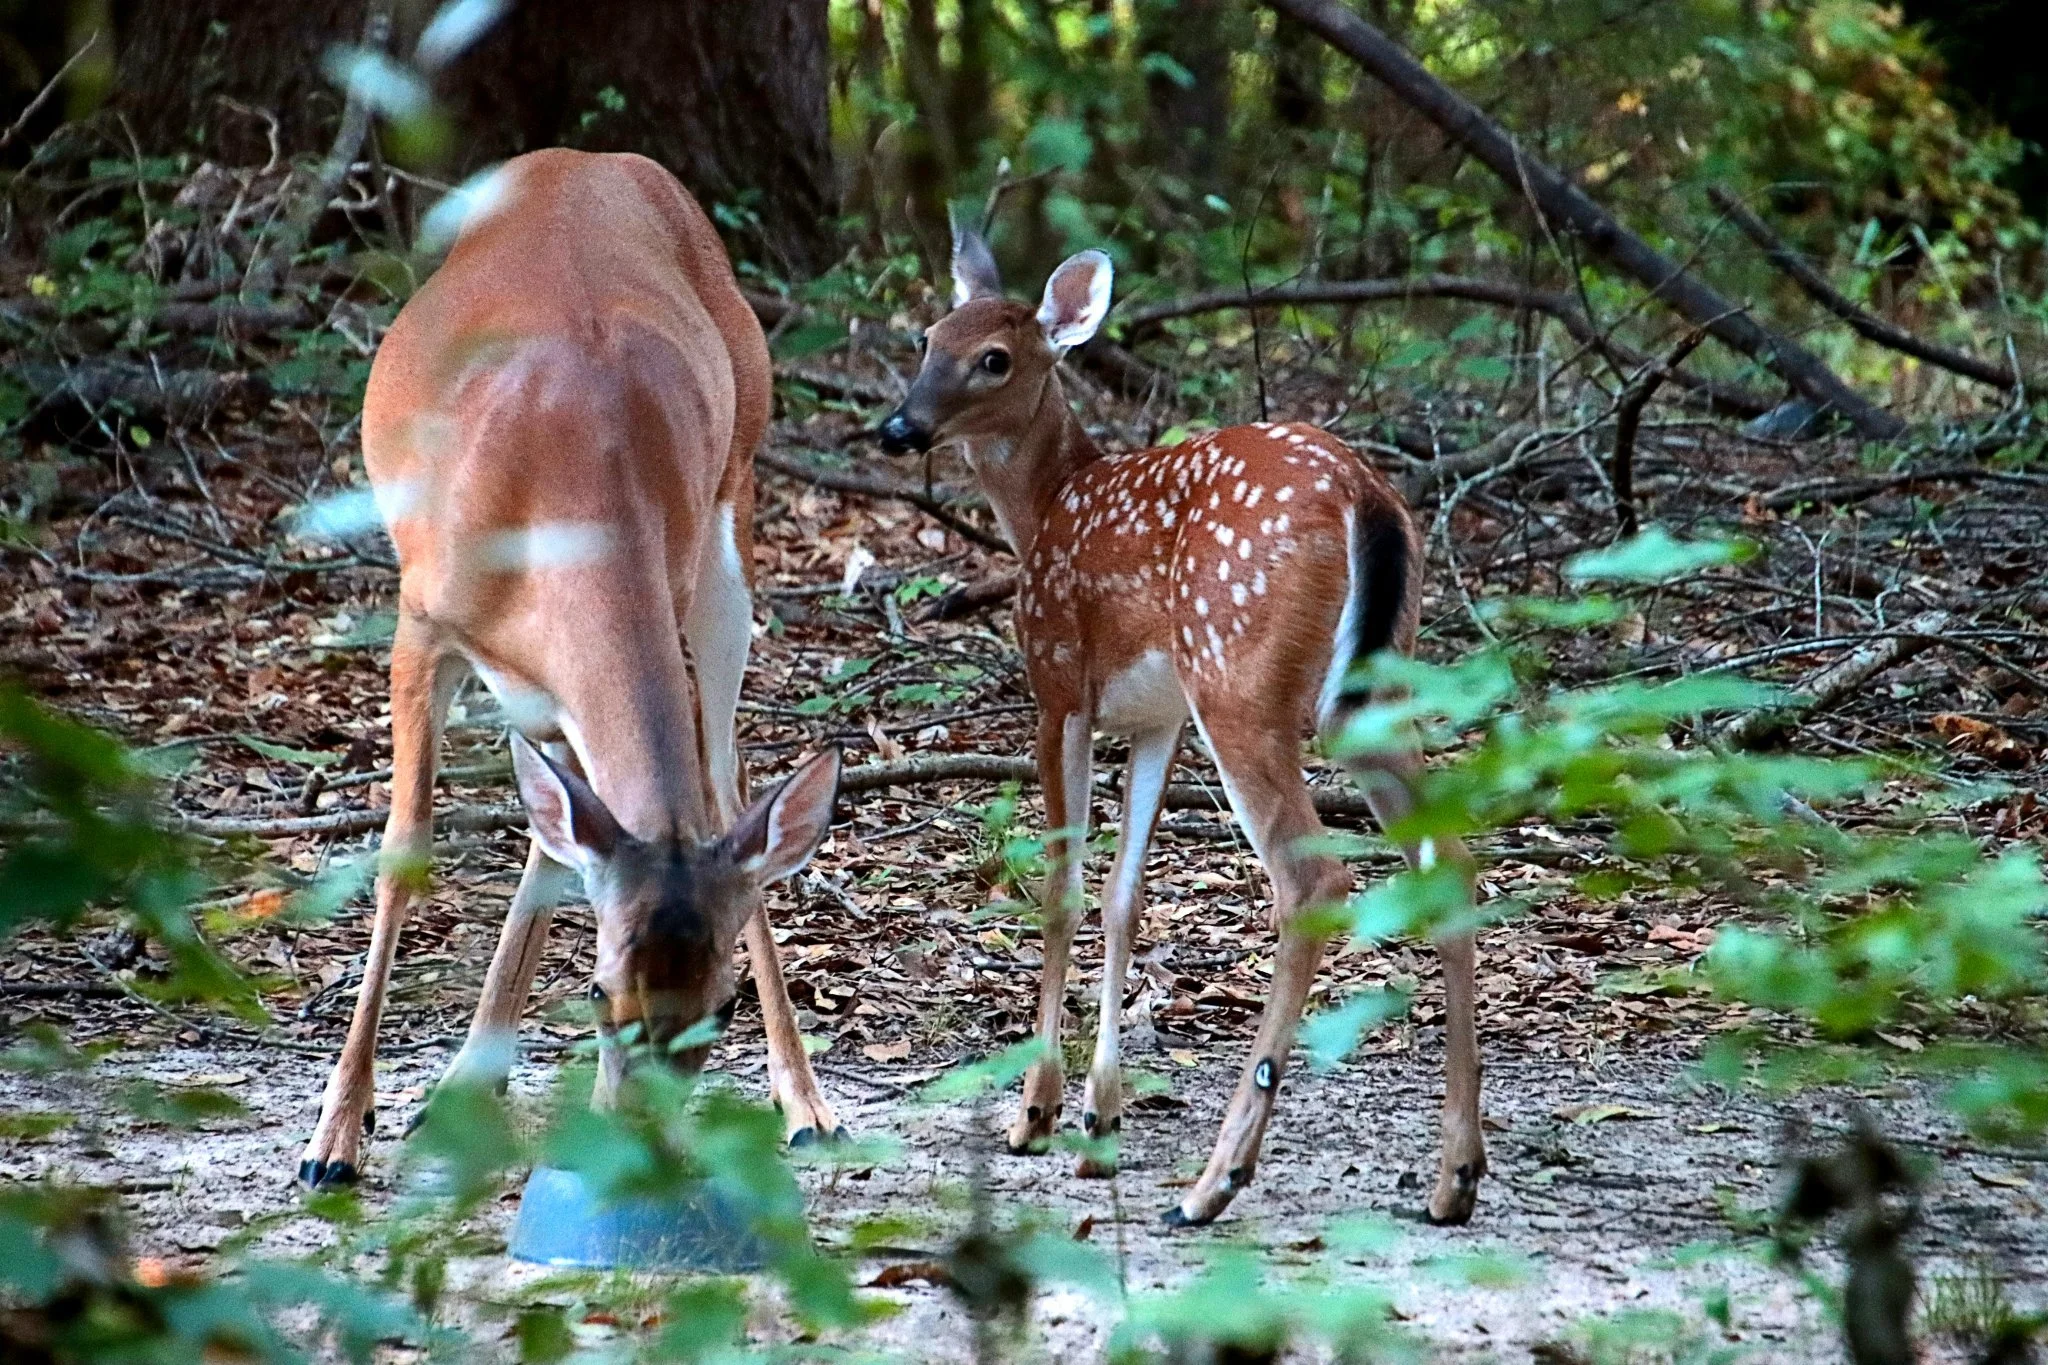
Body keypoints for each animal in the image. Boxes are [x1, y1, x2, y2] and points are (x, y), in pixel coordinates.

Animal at [298, 149, 845, 1189]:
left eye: (719, 1007)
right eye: (595, 990)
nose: (643, 1141)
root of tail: (590, 158)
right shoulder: (421, 618)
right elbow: (404, 851)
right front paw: (333, 1137)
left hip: (730, 525)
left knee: (713, 786)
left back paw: (807, 1105)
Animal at [874, 230, 1486, 1226]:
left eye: (995, 357)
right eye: (927, 336)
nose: (899, 427)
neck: (1044, 510)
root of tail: (1364, 495)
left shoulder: (1059, 687)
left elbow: (1062, 888)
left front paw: (1036, 1112)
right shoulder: (1156, 719)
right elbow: (1125, 896)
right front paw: (1099, 1117)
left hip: (1238, 676)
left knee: (1314, 879)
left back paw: (1212, 1183)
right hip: (1368, 691)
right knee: (1452, 859)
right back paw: (1454, 1179)